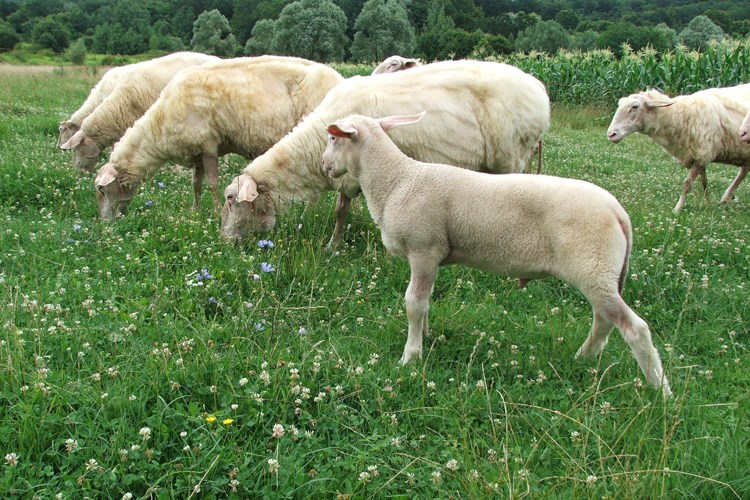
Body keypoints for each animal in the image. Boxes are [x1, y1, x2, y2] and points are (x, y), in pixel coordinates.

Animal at [92, 55, 346, 220]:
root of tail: (338, 79)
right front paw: (195, 212)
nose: (106, 225)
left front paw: (214, 212)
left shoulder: (208, 147)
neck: (159, 125)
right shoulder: (195, 152)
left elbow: (212, 184)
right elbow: (196, 184)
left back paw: (306, 215)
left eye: (102, 190)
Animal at [220, 59, 548, 247]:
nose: (224, 240)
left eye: (231, 198)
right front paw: (335, 245)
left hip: (512, 155)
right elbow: (342, 210)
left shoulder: (354, 176)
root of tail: (540, 92)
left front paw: (333, 247)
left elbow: (341, 212)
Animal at [324, 111, 676, 396]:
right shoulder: (431, 258)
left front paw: (411, 356)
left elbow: (414, 304)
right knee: (603, 320)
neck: (397, 180)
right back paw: (582, 358)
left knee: (634, 327)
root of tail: (619, 212)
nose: (325, 166)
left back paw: (660, 390)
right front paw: (426, 337)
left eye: (332, 138)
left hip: (594, 267)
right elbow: (425, 302)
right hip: (599, 272)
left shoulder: (424, 248)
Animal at [608, 85, 750, 212]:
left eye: (635, 106)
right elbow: (704, 183)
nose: (611, 134)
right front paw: (707, 203)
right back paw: (725, 198)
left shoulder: (701, 154)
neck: (680, 115)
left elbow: (687, 184)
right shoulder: (700, 155)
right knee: (744, 170)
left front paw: (677, 208)